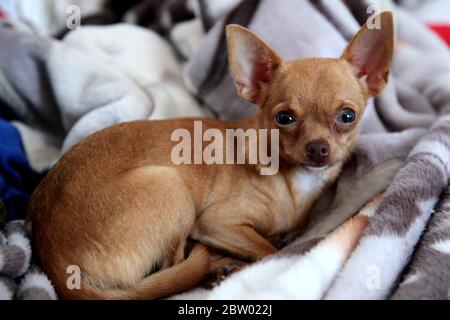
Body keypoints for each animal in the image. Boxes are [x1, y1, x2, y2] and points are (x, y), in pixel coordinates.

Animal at [27, 11, 394, 298]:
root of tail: (57, 265)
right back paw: (216, 266)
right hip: (170, 187)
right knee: (173, 266)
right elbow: (269, 250)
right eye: (284, 118)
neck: (293, 182)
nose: (318, 148)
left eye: (347, 116)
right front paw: (252, 257)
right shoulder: (216, 222)